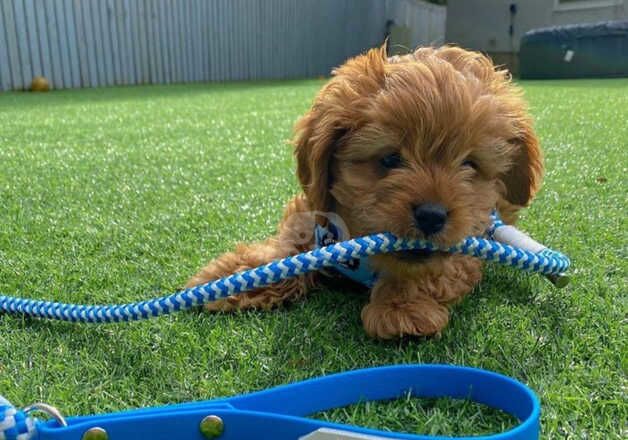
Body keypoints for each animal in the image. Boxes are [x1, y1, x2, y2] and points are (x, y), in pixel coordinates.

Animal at [184, 44, 544, 338]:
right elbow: (289, 247)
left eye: (469, 164)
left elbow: (430, 268)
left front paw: (401, 308)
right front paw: (237, 276)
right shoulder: (311, 211)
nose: (432, 215)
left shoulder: (468, 242)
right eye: (389, 159)